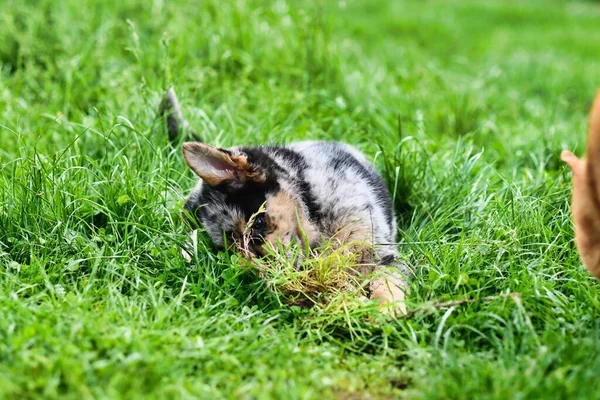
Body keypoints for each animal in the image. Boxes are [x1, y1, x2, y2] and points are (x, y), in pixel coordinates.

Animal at [162, 89, 410, 310]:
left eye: (258, 223)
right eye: (232, 248)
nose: (272, 276)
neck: (313, 205)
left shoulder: (381, 252)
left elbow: (386, 282)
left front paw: (386, 309)